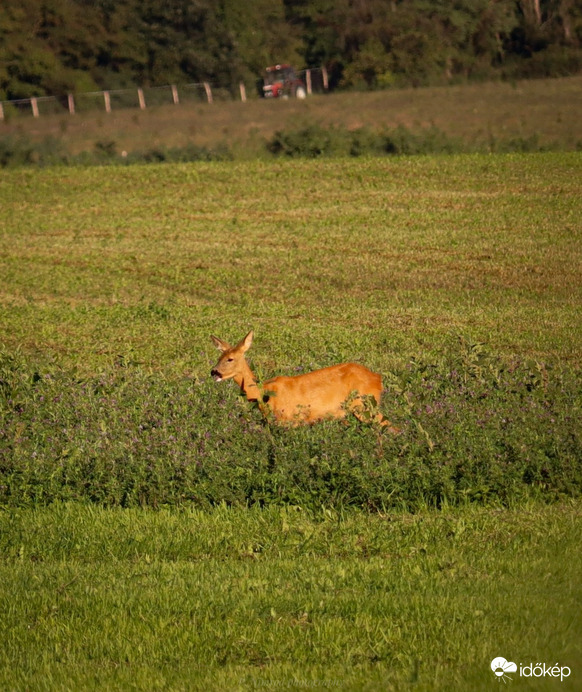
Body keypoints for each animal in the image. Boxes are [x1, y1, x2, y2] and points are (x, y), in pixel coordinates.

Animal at [211, 332, 402, 432]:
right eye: (219, 357)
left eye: (230, 359)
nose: (214, 372)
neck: (263, 394)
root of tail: (378, 378)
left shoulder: (289, 420)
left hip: (364, 405)